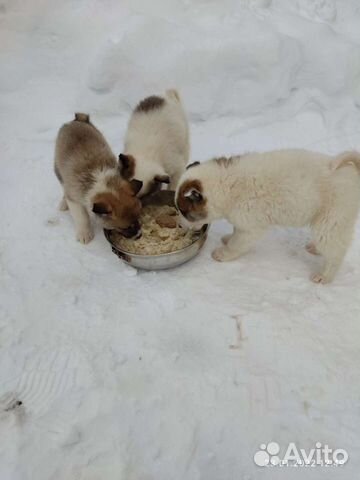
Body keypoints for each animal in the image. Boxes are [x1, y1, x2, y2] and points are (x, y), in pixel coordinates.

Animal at [54, 113, 143, 244]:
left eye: (139, 218)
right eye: (125, 227)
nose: (139, 236)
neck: (103, 183)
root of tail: (77, 120)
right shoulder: (75, 201)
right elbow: (82, 218)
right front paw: (84, 234)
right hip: (58, 170)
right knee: (64, 188)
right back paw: (63, 203)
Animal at [176, 152, 360, 284]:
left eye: (184, 212)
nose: (180, 227)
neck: (224, 186)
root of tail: (350, 171)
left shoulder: (251, 227)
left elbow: (237, 243)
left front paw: (223, 253)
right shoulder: (242, 221)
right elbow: (235, 232)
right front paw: (228, 238)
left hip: (331, 220)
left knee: (335, 252)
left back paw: (324, 276)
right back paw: (315, 248)